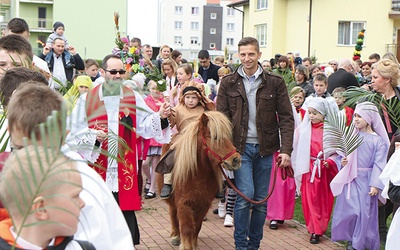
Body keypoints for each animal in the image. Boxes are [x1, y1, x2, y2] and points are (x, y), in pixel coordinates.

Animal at [159, 112, 241, 250]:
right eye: (215, 137)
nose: (236, 160)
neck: (197, 174)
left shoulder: (203, 203)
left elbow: (196, 227)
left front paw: (194, 244)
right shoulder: (183, 203)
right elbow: (187, 227)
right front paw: (186, 245)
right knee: (173, 214)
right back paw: (175, 235)